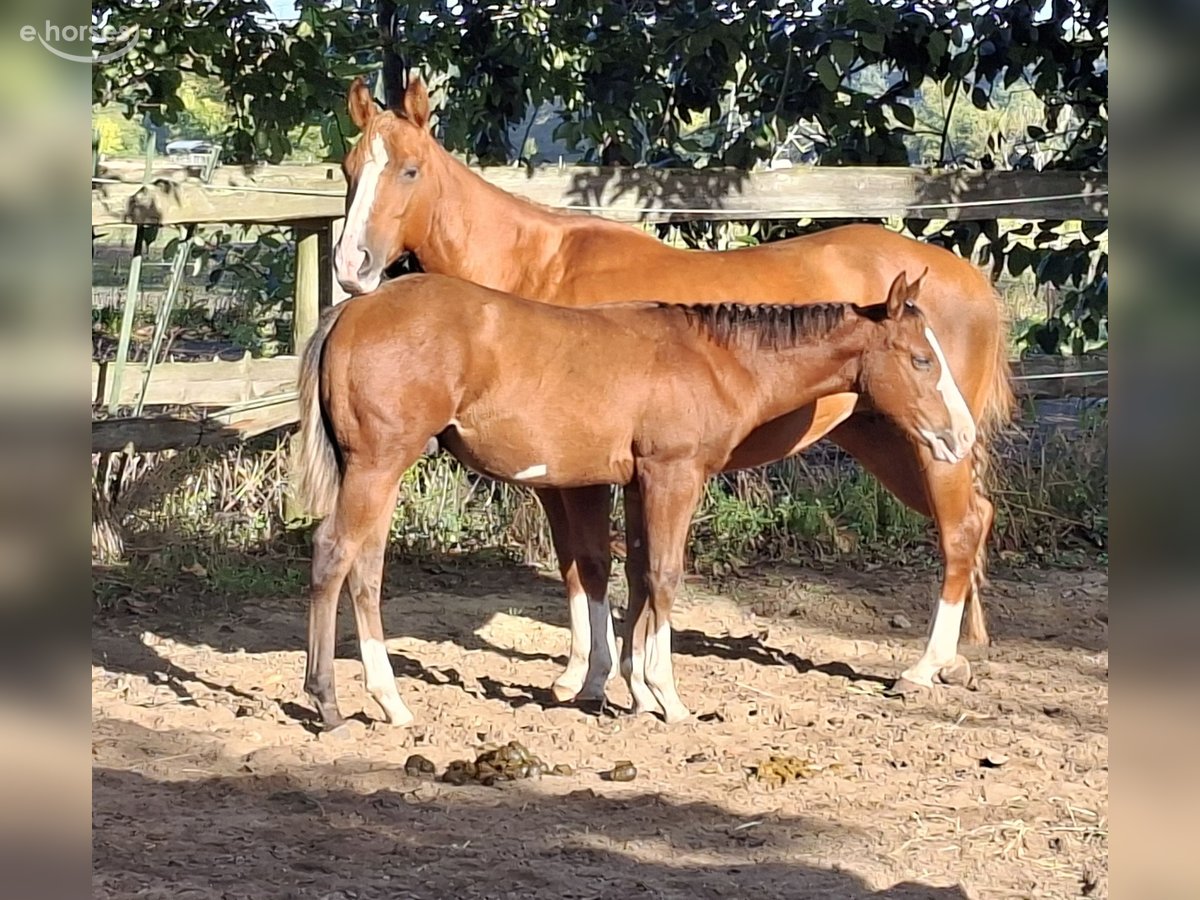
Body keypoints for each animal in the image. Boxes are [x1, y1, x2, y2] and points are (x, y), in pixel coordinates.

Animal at [293, 270, 976, 728]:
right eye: (922, 359)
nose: (961, 435)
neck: (714, 360)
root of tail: (350, 313)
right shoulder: (675, 475)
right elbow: (665, 577)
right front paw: (668, 698)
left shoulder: (638, 483)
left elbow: (639, 577)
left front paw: (636, 693)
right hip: (379, 463)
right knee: (335, 555)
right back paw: (330, 702)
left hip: (377, 470)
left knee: (366, 568)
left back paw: (388, 702)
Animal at [331, 76, 1013, 702]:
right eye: (348, 169)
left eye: (410, 170)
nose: (351, 266)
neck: (542, 272)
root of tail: (970, 281)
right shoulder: (575, 471)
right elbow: (591, 565)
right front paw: (594, 674)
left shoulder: (589, 474)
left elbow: (598, 563)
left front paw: (607, 676)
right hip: (887, 437)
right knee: (975, 520)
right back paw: (958, 659)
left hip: (935, 443)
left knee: (959, 530)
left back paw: (924, 668)